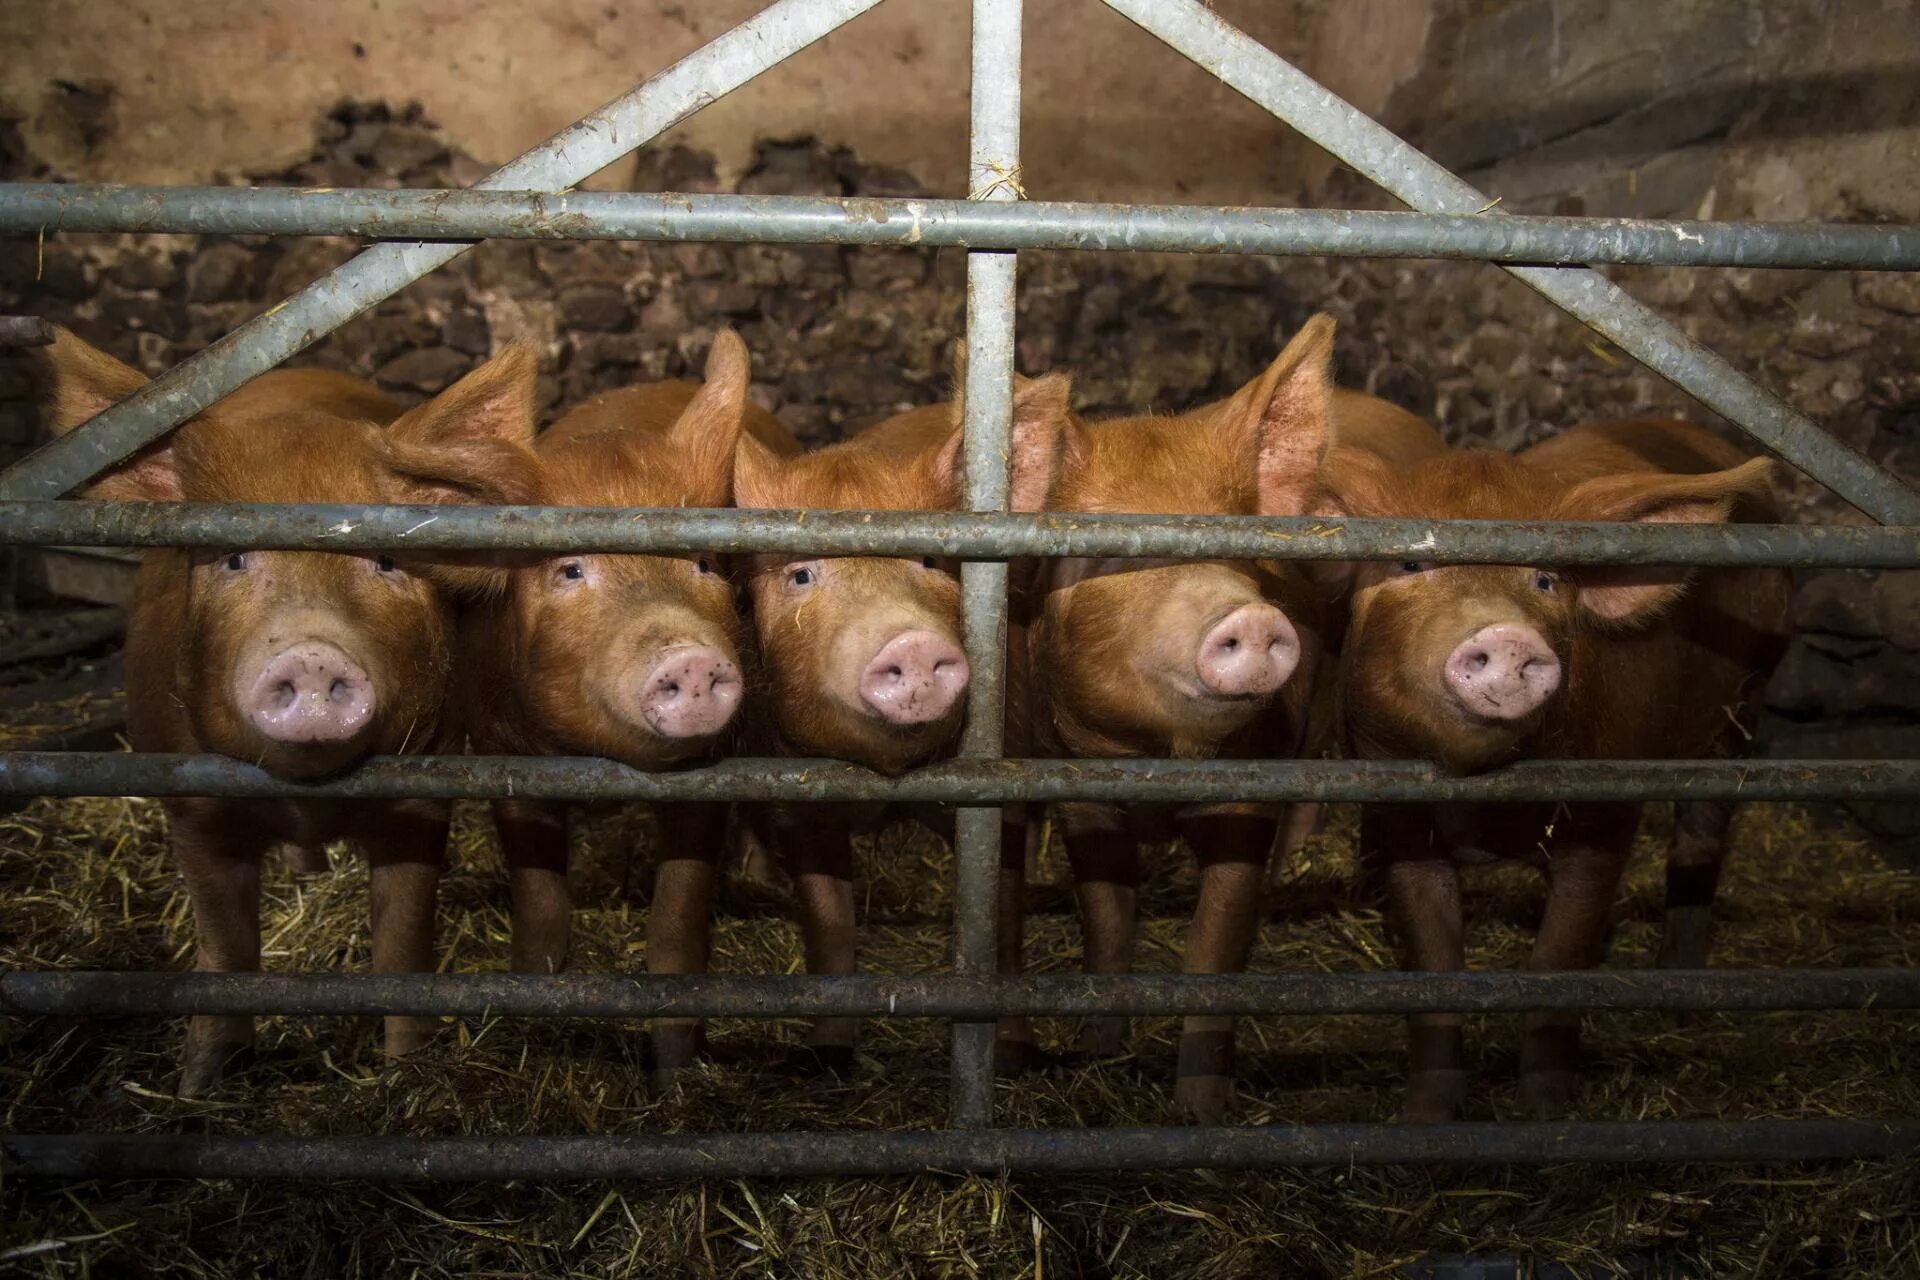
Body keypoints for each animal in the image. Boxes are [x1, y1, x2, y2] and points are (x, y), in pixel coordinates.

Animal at [37, 326, 549, 1097]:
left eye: (386, 562)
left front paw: (405, 1075)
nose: (310, 654)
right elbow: (226, 950)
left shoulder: (422, 794)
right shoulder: (192, 804)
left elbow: (401, 946)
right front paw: (196, 1089)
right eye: (233, 558)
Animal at [453, 335, 783, 1013]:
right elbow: (539, 899)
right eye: (571, 570)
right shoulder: (499, 749)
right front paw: (530, 982)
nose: (688, 654)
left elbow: (677, 915)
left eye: (704, 564)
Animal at [721, 370, 1075, 1082]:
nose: (909, 641)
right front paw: (823, 1058)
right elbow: (829, 921)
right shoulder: (799, 799)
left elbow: (1002, 921)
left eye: (931, 564)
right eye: (801, 574)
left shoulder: (999, 783)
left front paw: (1017, 1056)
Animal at [1029, 312, 1443, 1120]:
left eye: (1236, 545)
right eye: (1106, 555)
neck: (1162, 758)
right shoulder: (1074, 784)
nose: (1247, 616)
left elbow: (1214, 947)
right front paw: (1095, 1048)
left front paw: (1199, 1111)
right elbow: (1106, 915)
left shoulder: (1248, 789)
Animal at [1320, 420, 1781, 1120]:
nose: (1507, 637)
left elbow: (1559, 957)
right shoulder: (1397, 812)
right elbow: (1433, 958)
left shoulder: (1606, 809)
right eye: (1410, 564)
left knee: (1702, 835)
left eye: (1545, 579)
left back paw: (1677, 1000)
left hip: (1743, 707)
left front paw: (1544, 1113)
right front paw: (1425, 1115)